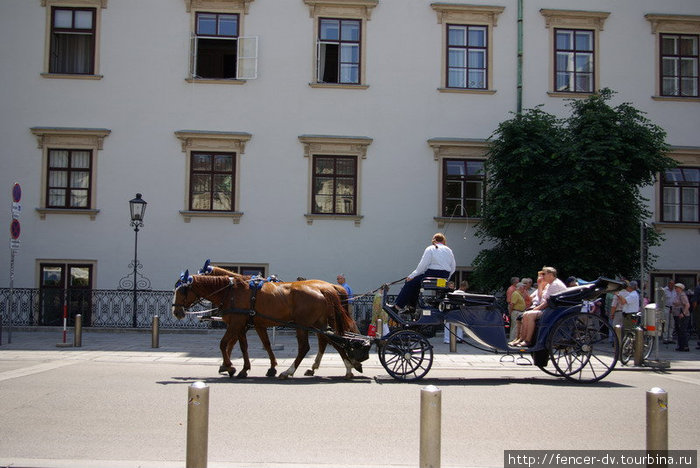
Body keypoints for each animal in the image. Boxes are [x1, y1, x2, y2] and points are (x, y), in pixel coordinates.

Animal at [172, 272, 364, 378]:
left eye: (182, 290)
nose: (176, 312)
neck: (232, 291)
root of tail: (324, 289)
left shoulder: (236, 323)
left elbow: (224, 344)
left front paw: (230, 367)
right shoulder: (246, 324)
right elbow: (248, 346)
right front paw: (244, 369)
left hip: (303, 325)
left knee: (306, 347)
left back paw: (289, 371)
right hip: (319, 324)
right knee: (334, 342)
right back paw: (347, 368)